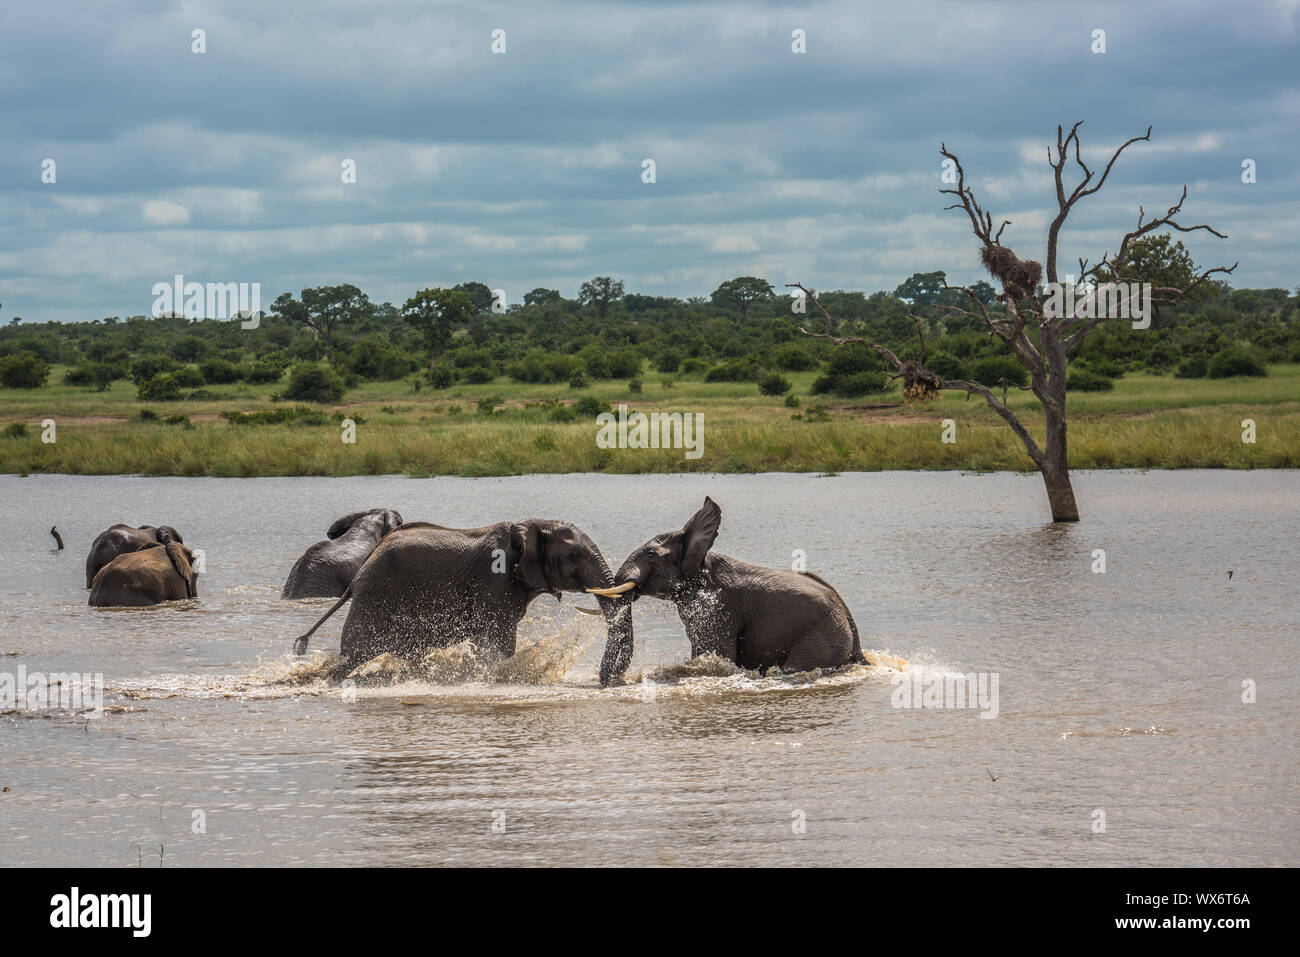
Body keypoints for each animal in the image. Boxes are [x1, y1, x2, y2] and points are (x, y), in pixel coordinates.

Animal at [291, 520, 634, 670]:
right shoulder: (494, 581)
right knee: (355, 654)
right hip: (375, 599)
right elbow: (498, 643)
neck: (530, 525)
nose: (608, 681)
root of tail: (358, 576)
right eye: (574, 556)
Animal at [595, 496, 868, 686]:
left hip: (820, 640)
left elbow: (714, 655)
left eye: (651, 554)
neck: (701, 560)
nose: (611, 683)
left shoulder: (717, 608)